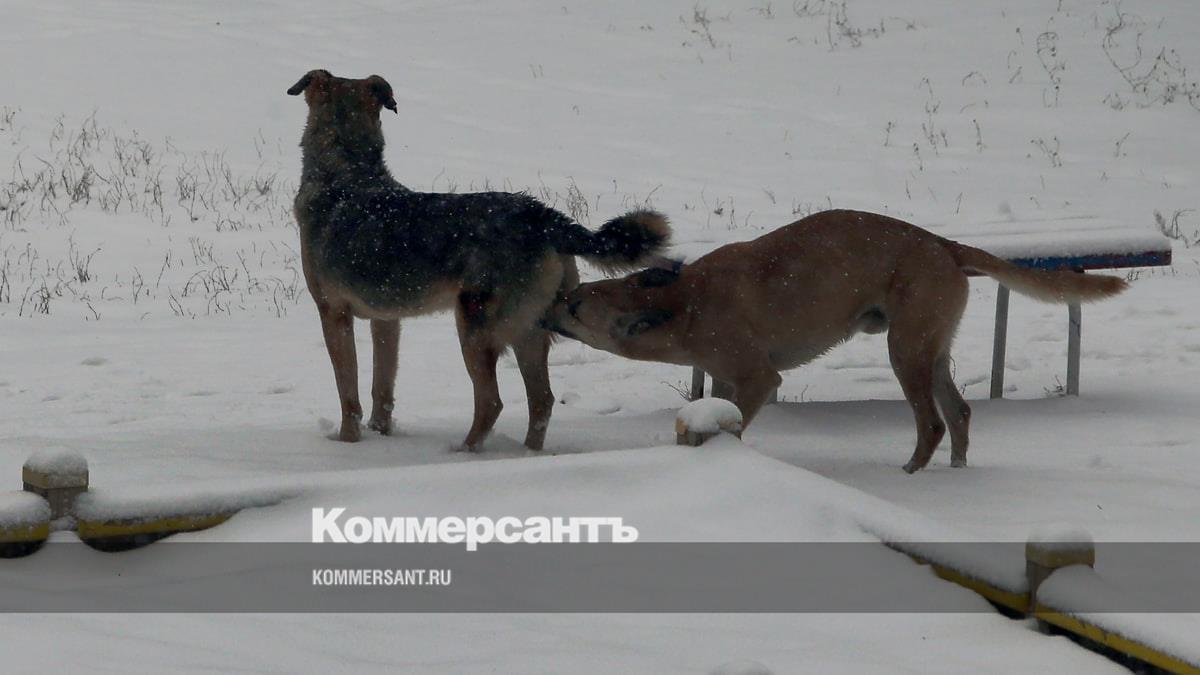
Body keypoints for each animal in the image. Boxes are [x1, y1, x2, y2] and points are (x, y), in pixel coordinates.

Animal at [288, 69, 670, 450]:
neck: (346, 172)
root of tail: (543, 216)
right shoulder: (386, 320)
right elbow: (382, 388)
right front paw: (380, 434)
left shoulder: (333, 313)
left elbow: (348, 393)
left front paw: (347, 443)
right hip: (530, 328)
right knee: (541, 400)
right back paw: (526, 453)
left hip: (474, 327)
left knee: (492, 401)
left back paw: (463, 451)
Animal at [544, 209, 1128, 472]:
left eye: (573, 307)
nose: (546, 307)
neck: (679, 301)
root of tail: (942, 244)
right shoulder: (726, 379)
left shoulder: (758, 378)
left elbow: (739, 420)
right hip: (931, 348)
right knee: (959, 412)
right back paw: (956, 470)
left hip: (905, 351)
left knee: (933, 421)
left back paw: (913, 473)